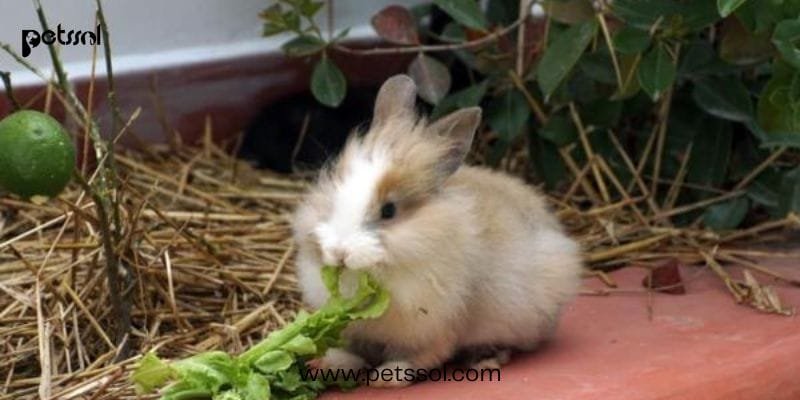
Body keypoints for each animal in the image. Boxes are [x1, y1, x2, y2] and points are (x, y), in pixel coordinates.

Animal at [290, 75, 584, 388]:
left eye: (389, 211)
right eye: (333, 193)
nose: (339, 252)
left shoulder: (437, 326)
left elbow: (423, 356)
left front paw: (386, 377)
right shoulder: (352, 328)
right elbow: (349, 349)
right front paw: (334, 364)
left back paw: (486, 359)